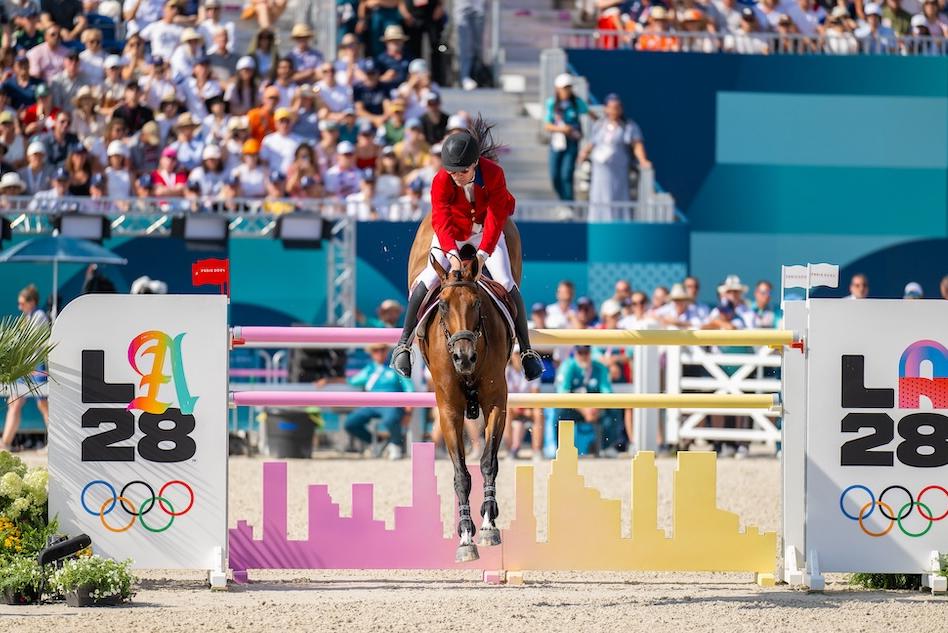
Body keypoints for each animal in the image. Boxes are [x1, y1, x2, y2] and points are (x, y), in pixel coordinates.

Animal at [408, 214, 524, 564]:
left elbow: (488, 461)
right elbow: (461, 473)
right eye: (443, 306)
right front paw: (464, 537)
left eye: (476, 304)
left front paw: (487, 525)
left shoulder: (496, 401)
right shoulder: (449, 409)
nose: (464, 357)